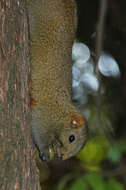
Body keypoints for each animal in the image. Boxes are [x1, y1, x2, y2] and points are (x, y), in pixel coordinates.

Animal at [27, 0, 87, 161]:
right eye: (71, 138)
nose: (62, 157)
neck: (62, 109)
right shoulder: (45, 112)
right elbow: (38, 130)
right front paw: (45, 151)